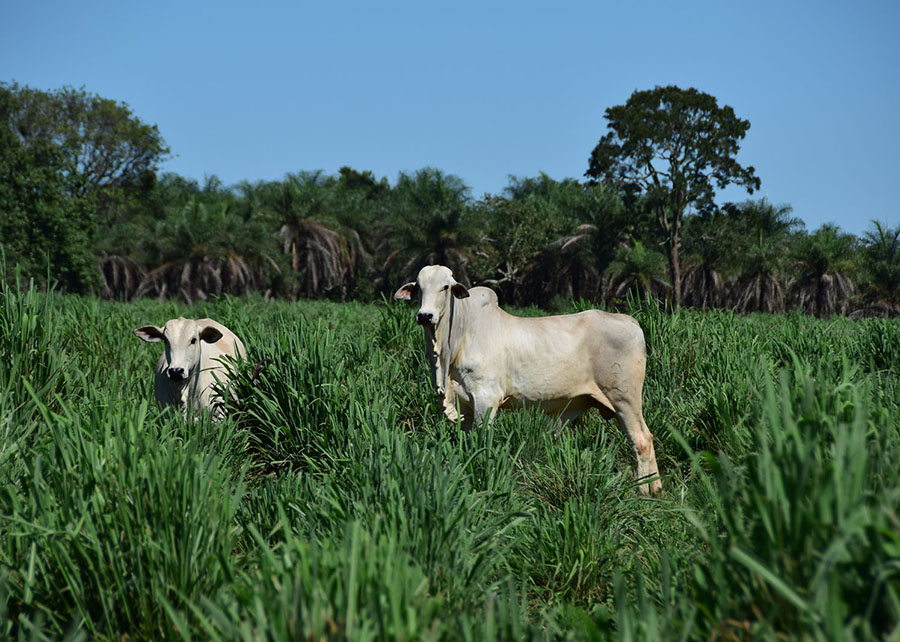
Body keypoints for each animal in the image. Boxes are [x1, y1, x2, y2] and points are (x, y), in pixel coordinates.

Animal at [394, 264, 660, 496]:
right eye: (419, 287)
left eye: (445, 287)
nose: (425, 316)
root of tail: (631, 322)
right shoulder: (465, 405)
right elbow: (469, 444)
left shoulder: (485, 399)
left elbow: (483, 443)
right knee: (647, 436)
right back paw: (656, 488)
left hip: (625, 399)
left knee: (641, 439)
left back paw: (644, 491)